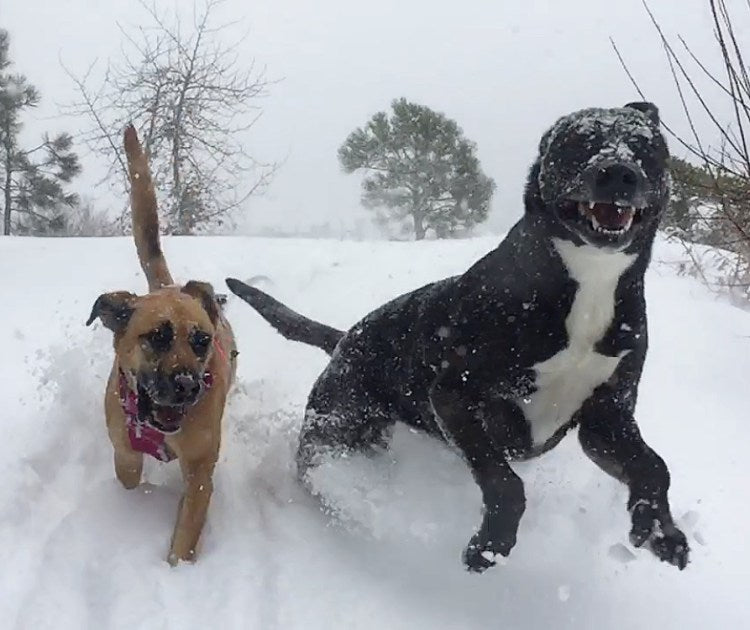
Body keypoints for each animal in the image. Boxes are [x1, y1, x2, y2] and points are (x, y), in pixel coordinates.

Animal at [89, 124, 239, 568]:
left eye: (202, 340)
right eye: (157, 336)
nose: (188, 385)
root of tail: (169, 285)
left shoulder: (201, 471)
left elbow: (186, 533)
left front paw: (178, 571)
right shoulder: (124, 450)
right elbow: (129, 475)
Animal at [229, 102, 692, 572]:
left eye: (645, 147)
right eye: (578, 142)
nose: (618, 172)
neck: (588, 280)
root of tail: (345, 339)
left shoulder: (606, 417)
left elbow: (655, 467)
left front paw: (661, 531)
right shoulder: (455, 395)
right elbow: (503, 480)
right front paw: (491, 543)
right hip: (335, 424)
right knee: (317, 465)